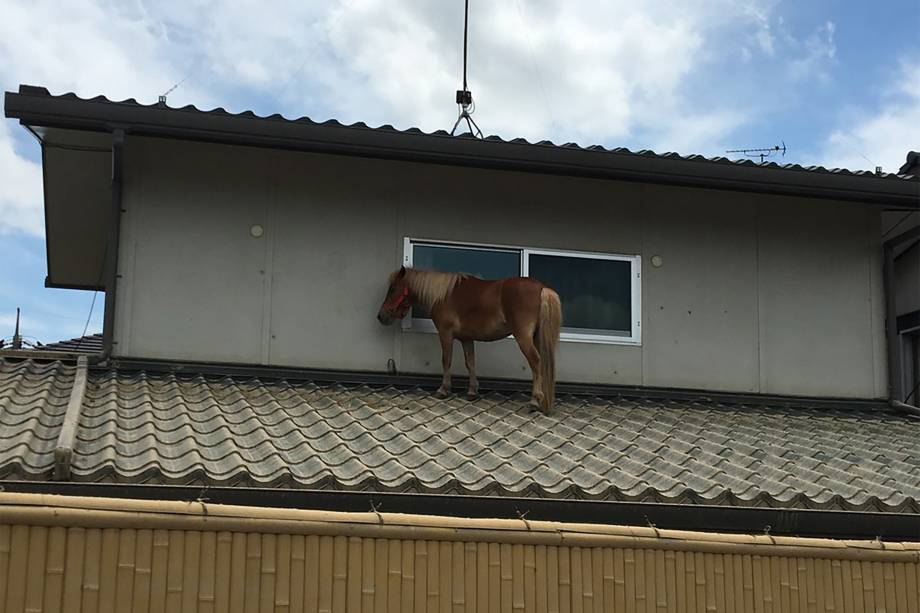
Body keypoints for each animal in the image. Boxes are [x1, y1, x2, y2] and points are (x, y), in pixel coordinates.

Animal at [378, 266, 564, 414]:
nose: (381, 316)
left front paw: (443, 389)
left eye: (393, 289)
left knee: (536, 362)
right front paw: (472, 392)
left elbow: (446, 360)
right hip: (537, 337)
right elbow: (470, 363)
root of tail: (542, 288)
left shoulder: (445, 334)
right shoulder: (466, 339)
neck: (444, 295)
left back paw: (534, 401)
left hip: (523, 338)